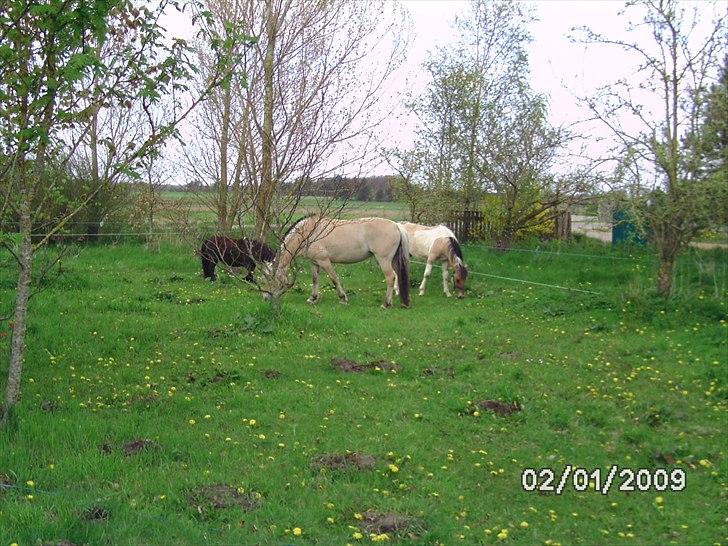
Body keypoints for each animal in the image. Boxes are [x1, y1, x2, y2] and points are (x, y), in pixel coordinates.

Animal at [272, 215, 410, 306]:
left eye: (275, 281)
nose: (270, 297)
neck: (310, 232)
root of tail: (396, 225)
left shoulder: (324, 261)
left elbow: (334, 279)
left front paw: (343, 298)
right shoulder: (314, 262)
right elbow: (315, 280)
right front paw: (313, 298)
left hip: (383, 260)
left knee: (391, 277)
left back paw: (386, 304)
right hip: (392, 261)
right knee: (396, 276)